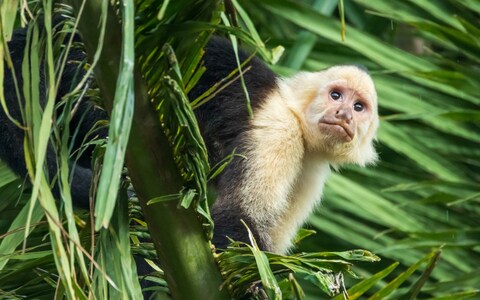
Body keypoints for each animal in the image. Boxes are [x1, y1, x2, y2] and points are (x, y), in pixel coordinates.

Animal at [0, 27, 378, 258]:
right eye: (335, 95)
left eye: (359, 106)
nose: (344, 114)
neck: (299, 122)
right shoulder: (279, 131)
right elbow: (237, 217)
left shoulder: (312, 170)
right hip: (84, 76)